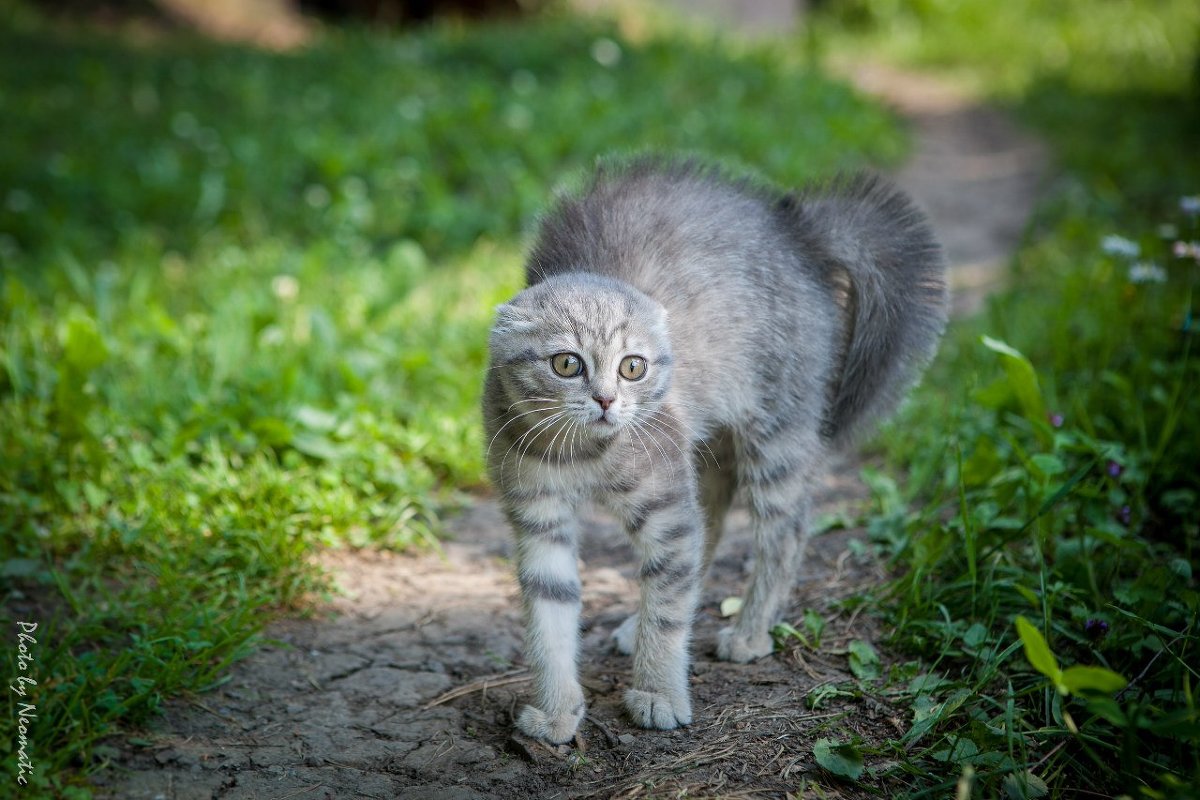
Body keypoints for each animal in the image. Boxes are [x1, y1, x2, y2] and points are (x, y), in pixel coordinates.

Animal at [480, 155, 945, 743]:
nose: (606, 400)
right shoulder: (539, 518)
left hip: (776, 433)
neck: (584, 453)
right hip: (709, 450)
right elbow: (550, 617)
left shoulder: (666, 506)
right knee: (712, 528)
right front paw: (558, 710)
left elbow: (670, 611)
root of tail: (798, 230)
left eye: (633, 367)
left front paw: (658, 692)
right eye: (567, 363)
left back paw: (749, 632)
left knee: (785, 533)